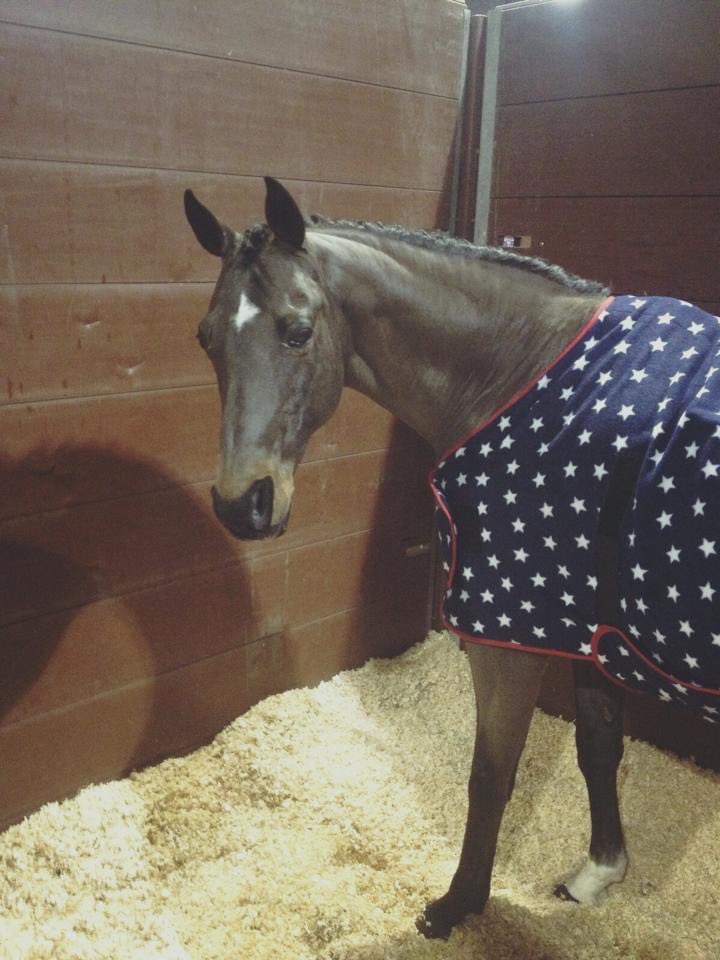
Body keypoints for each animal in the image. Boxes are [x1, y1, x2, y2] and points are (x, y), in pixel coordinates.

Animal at [183, 177, 720, 939]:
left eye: (298, 330)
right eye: (206, 339)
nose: (242, 504)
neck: (523, 371)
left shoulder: (513, 638)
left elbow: (491, 774)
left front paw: (457, 905)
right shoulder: (590, 627)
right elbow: (598, 745)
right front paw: (599, 872)